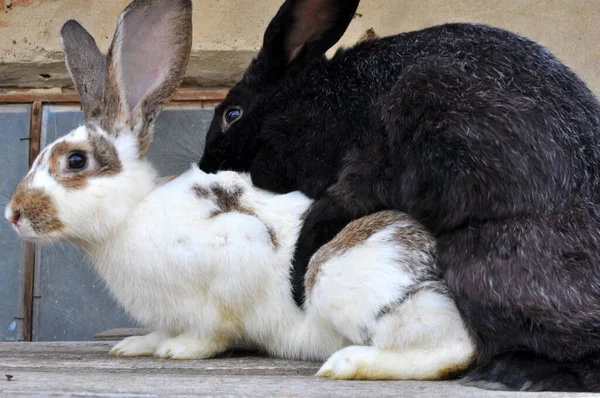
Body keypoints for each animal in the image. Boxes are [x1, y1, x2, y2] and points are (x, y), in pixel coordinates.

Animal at [4, 0, 474, 380]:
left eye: (75, 161)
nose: (13, 214)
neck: (130, 215)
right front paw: (137, 345)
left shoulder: (235, 250)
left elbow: (213, 329)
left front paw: (177, 350)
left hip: (345, 283)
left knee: (453, 351)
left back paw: (349, 364)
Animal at [199, 0, 600, 392]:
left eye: (232, 114)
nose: (206, 165)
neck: (320, 102)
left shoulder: (369, 166)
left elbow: (327, 213)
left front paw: (297, 281)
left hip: (481, 268)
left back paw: (515, 374)